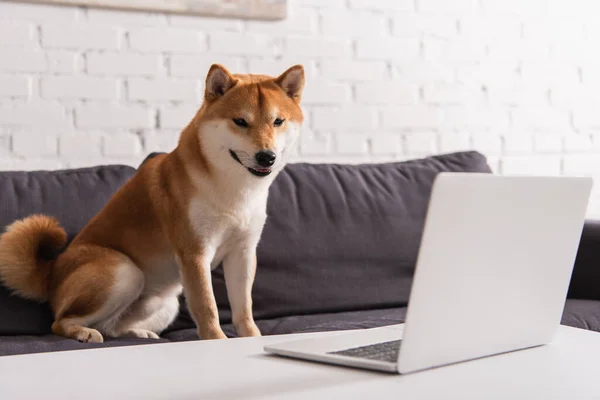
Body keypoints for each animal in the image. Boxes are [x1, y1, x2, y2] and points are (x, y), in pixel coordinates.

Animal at [0, 64, 304, 342]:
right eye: (240, 121)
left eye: (278, 121)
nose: (266, 156)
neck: (233, 188)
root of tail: (51, 275)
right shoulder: (195, 254)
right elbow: (208, 306)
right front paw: (216, 340)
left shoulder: (242, 253)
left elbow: (244, 308)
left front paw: (251, 337)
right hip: (125, 272)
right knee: (61, 322)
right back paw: (83, 332)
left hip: (167, 301)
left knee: (111, 327)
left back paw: (139, 333)